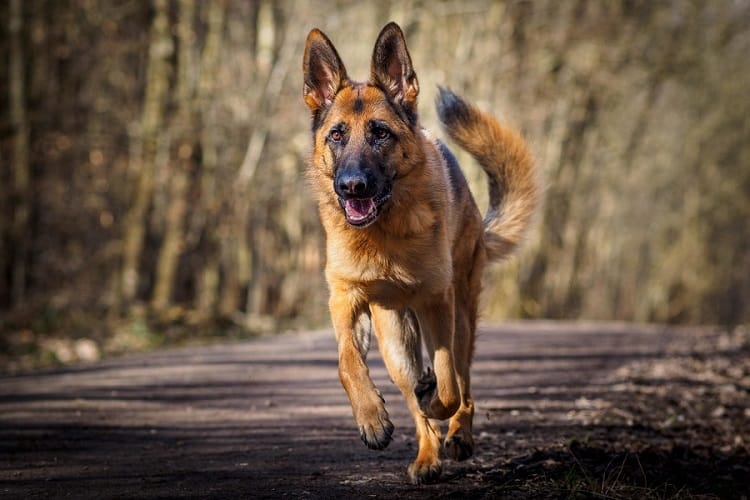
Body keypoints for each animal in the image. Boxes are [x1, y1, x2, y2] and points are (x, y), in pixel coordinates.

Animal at [302, 21, 536, 482]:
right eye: (336, 135)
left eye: (380, 133)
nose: (351, 186)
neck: (382, 235)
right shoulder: (346, 299)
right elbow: (346, 361)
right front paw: (371, 419)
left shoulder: (436, 304)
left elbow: (446, 386)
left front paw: (437, 399)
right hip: (397, 344)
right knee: (416, 402)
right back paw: (427, 457)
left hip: (460, 318)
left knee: (461, 386)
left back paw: (458, 435)